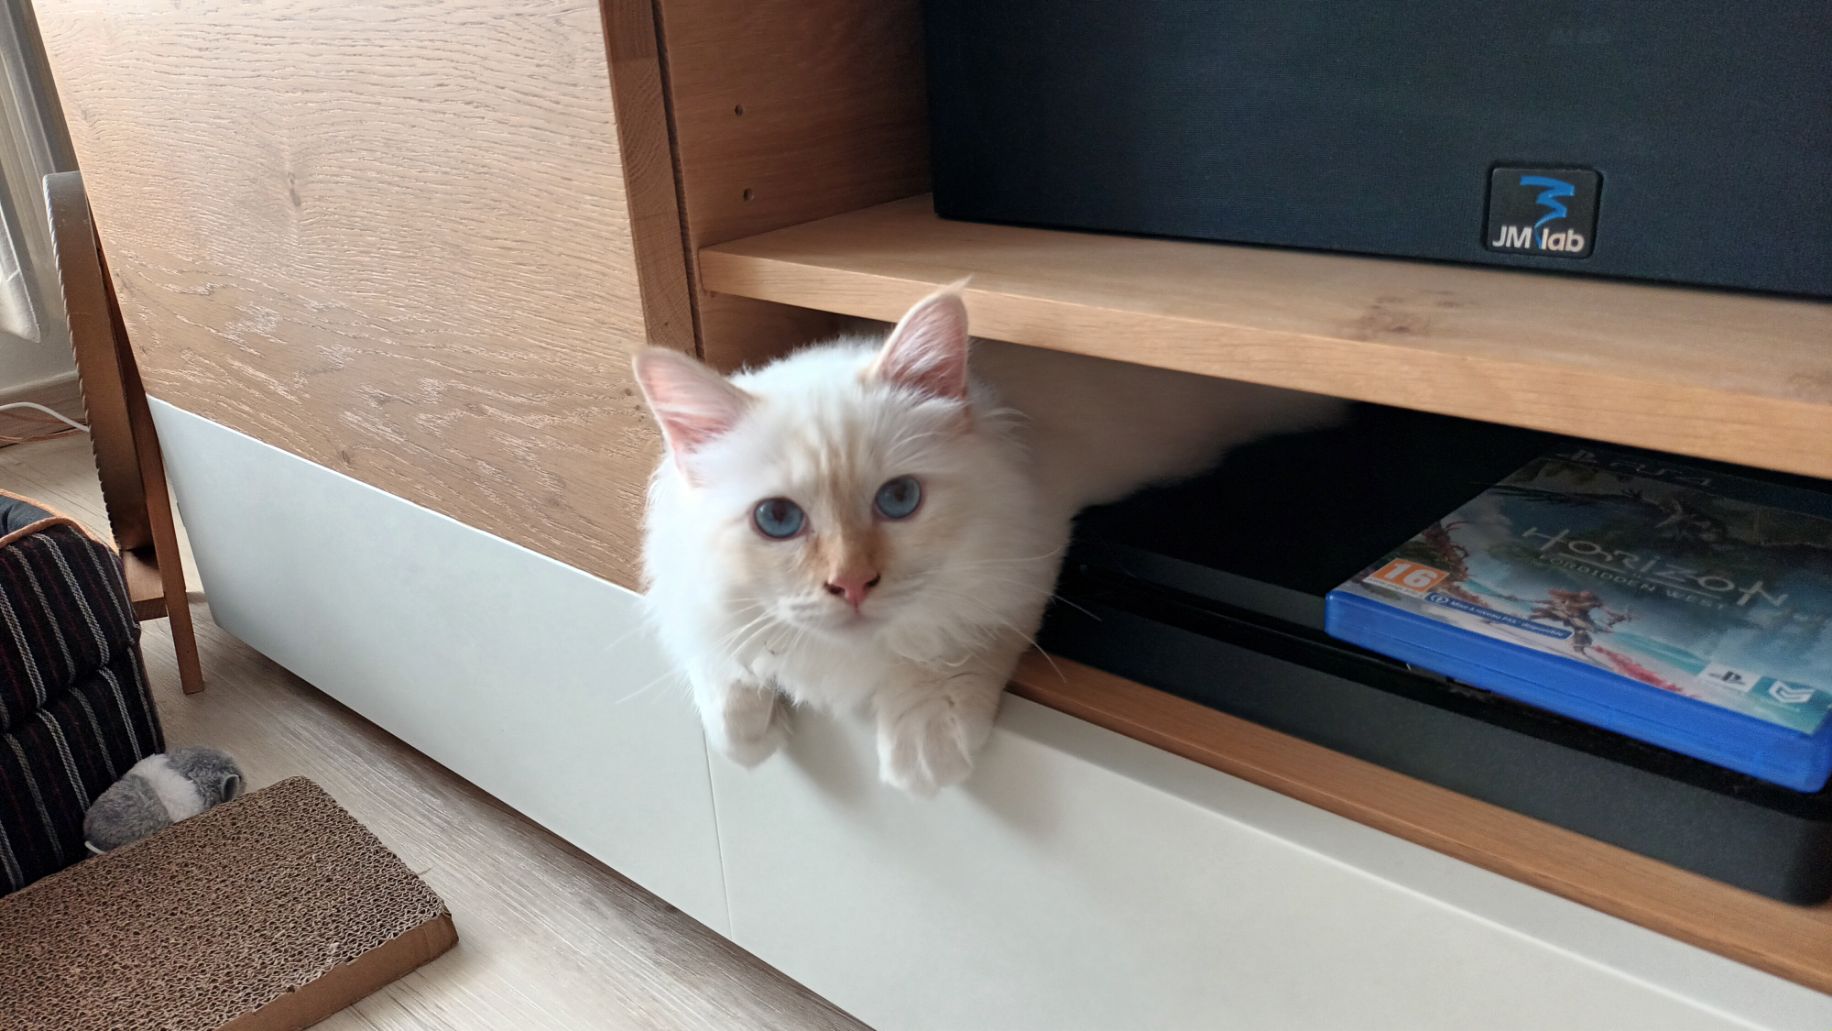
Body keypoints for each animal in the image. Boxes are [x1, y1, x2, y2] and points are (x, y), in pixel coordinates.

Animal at [635, 285, 1343, 795]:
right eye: (778, 519)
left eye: (899, 500)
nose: (852, 585)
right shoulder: (689, 589)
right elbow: (718, 658)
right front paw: (745, 735)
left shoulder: (1032, 541)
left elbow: (956, 645)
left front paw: (925, 746)